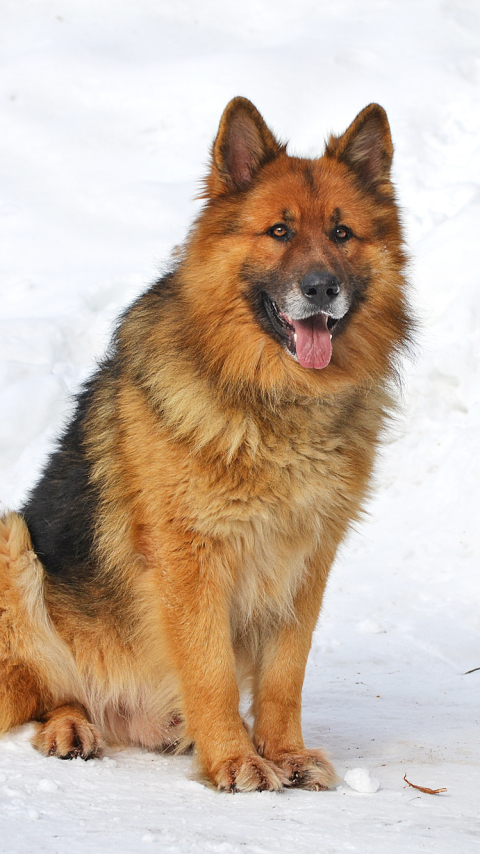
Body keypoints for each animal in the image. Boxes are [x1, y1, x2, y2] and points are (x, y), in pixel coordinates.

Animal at [0, 100, 410, 796]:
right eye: (278, 231)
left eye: (342, 233)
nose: (321, 288)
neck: (273, 401)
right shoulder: (191, 560)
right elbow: (212, 670)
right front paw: (234, 759)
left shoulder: (305, 562)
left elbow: (284, 676)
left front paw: (283, 750)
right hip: (13, 544)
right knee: (50, 695)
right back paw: (70, 727)